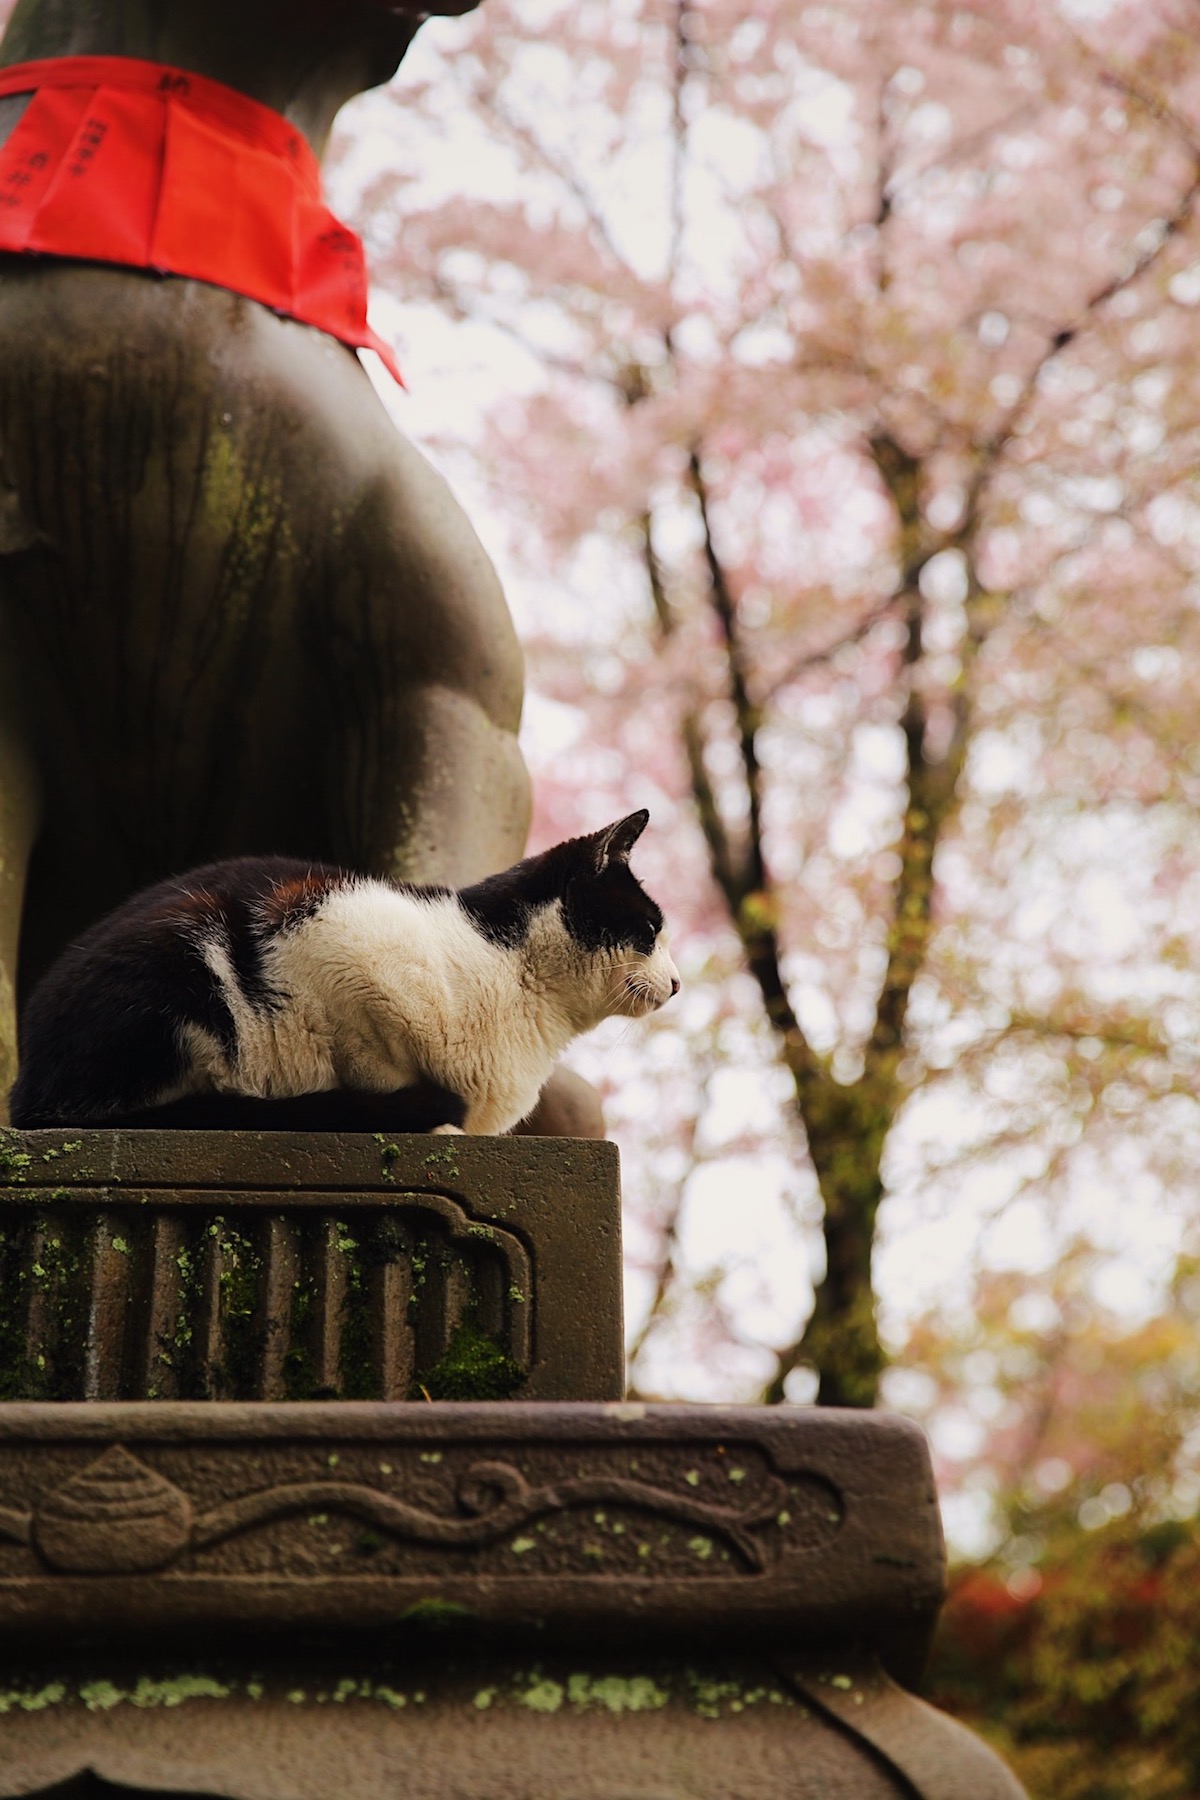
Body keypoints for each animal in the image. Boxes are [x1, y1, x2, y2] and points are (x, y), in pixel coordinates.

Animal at [9, 813, 680, 1130]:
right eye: (650, 932)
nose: (677, 983)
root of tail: (24, 1087)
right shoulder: (329, 931)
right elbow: (374, 1062)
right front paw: (426, 1118)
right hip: (181, 955)